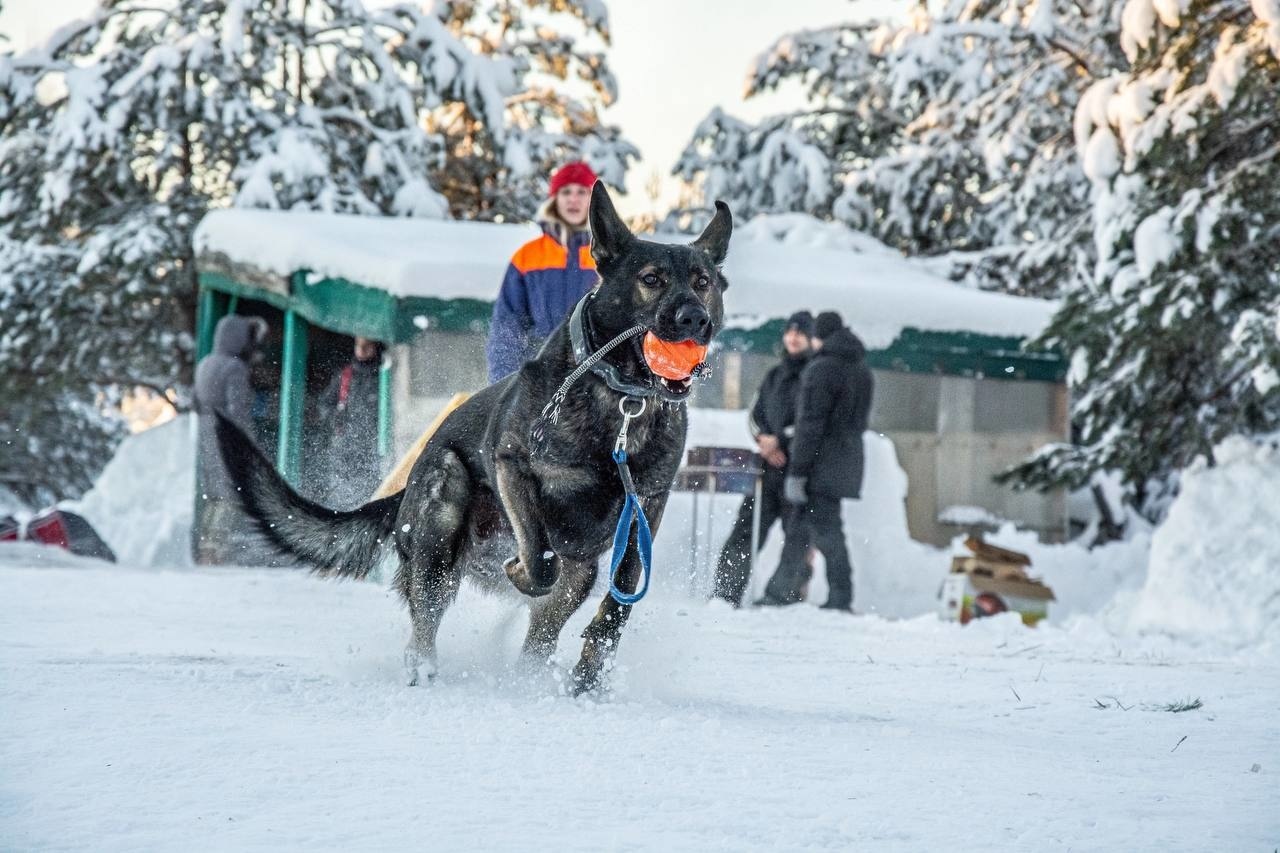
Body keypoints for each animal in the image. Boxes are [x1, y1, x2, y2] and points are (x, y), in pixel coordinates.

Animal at [220, 180, 732, 691]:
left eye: (703, 283)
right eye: (652, 279)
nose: (695, 320)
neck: (622, 403)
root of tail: (405, 489)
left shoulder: (646, 506)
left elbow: (618, 602)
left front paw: (588, 680)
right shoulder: (512, 466)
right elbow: (539, 558)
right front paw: (522, 571)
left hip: (579, 574)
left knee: (540, 636)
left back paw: (530, 678)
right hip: (443, 505)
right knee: (427, 613)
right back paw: (424, 666)